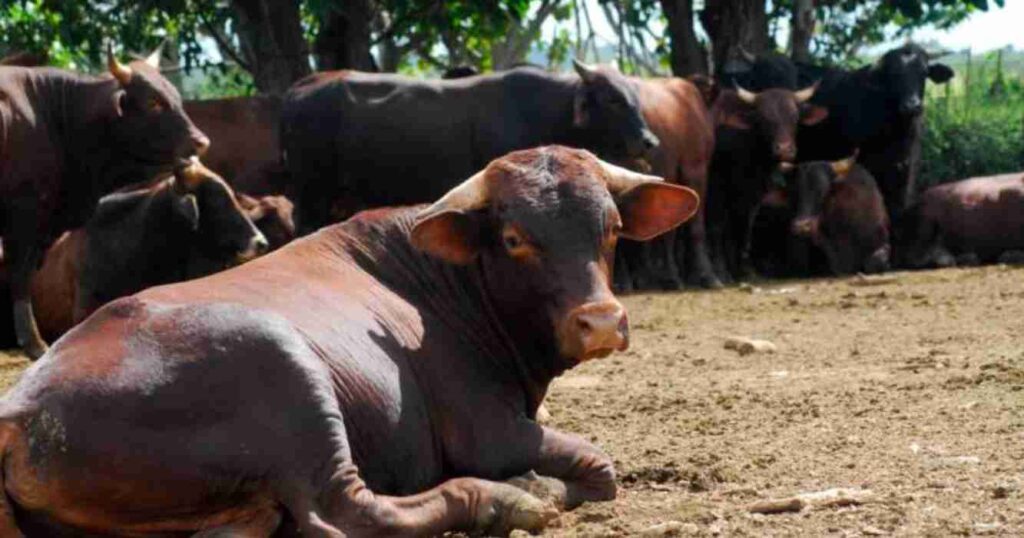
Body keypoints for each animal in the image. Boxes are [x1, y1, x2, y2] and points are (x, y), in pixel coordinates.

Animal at [0, 46, 208, 356]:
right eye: (153, 102)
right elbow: (20, 277)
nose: (201, 142)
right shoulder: (25, 212)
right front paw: (34, 343)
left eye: (176, 97)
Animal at [0, 144, 700, 532]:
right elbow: (599, 467)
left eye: (612, 228)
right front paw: (539, 484)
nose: (601, 321)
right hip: (287, 371)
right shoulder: (490, 430)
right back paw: (507, 501)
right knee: (348, 513)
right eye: (513, 237)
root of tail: (18, 410)